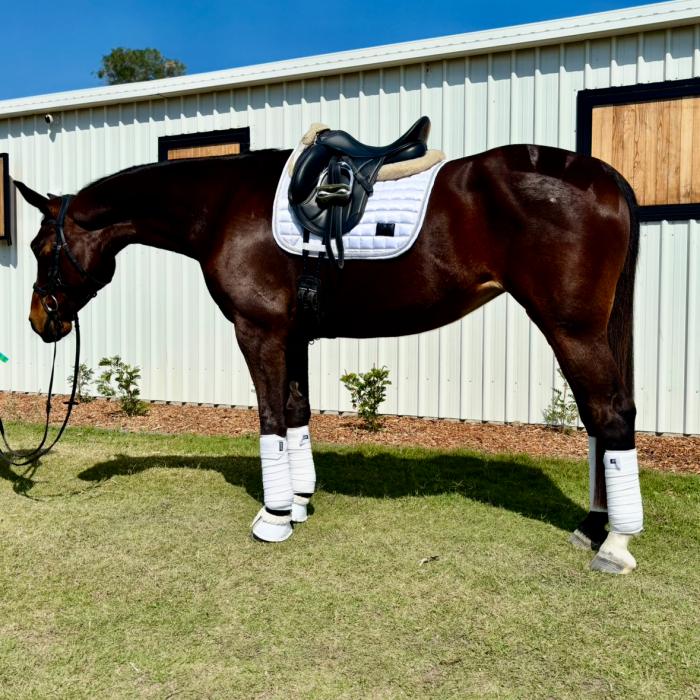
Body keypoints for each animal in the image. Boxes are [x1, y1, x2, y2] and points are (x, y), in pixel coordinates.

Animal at [14, 131, 643, 574]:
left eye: (42, 247)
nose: (40, 320)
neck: (223, 207)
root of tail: (605, 175)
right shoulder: (292, 336)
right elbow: (296, 415)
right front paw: (298, 501)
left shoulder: (259, 331)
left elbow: (270, 420)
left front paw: (272, 519)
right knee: (598, 420)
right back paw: (594, 526)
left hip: (571, 327)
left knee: (610, 415)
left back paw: (614, 543)